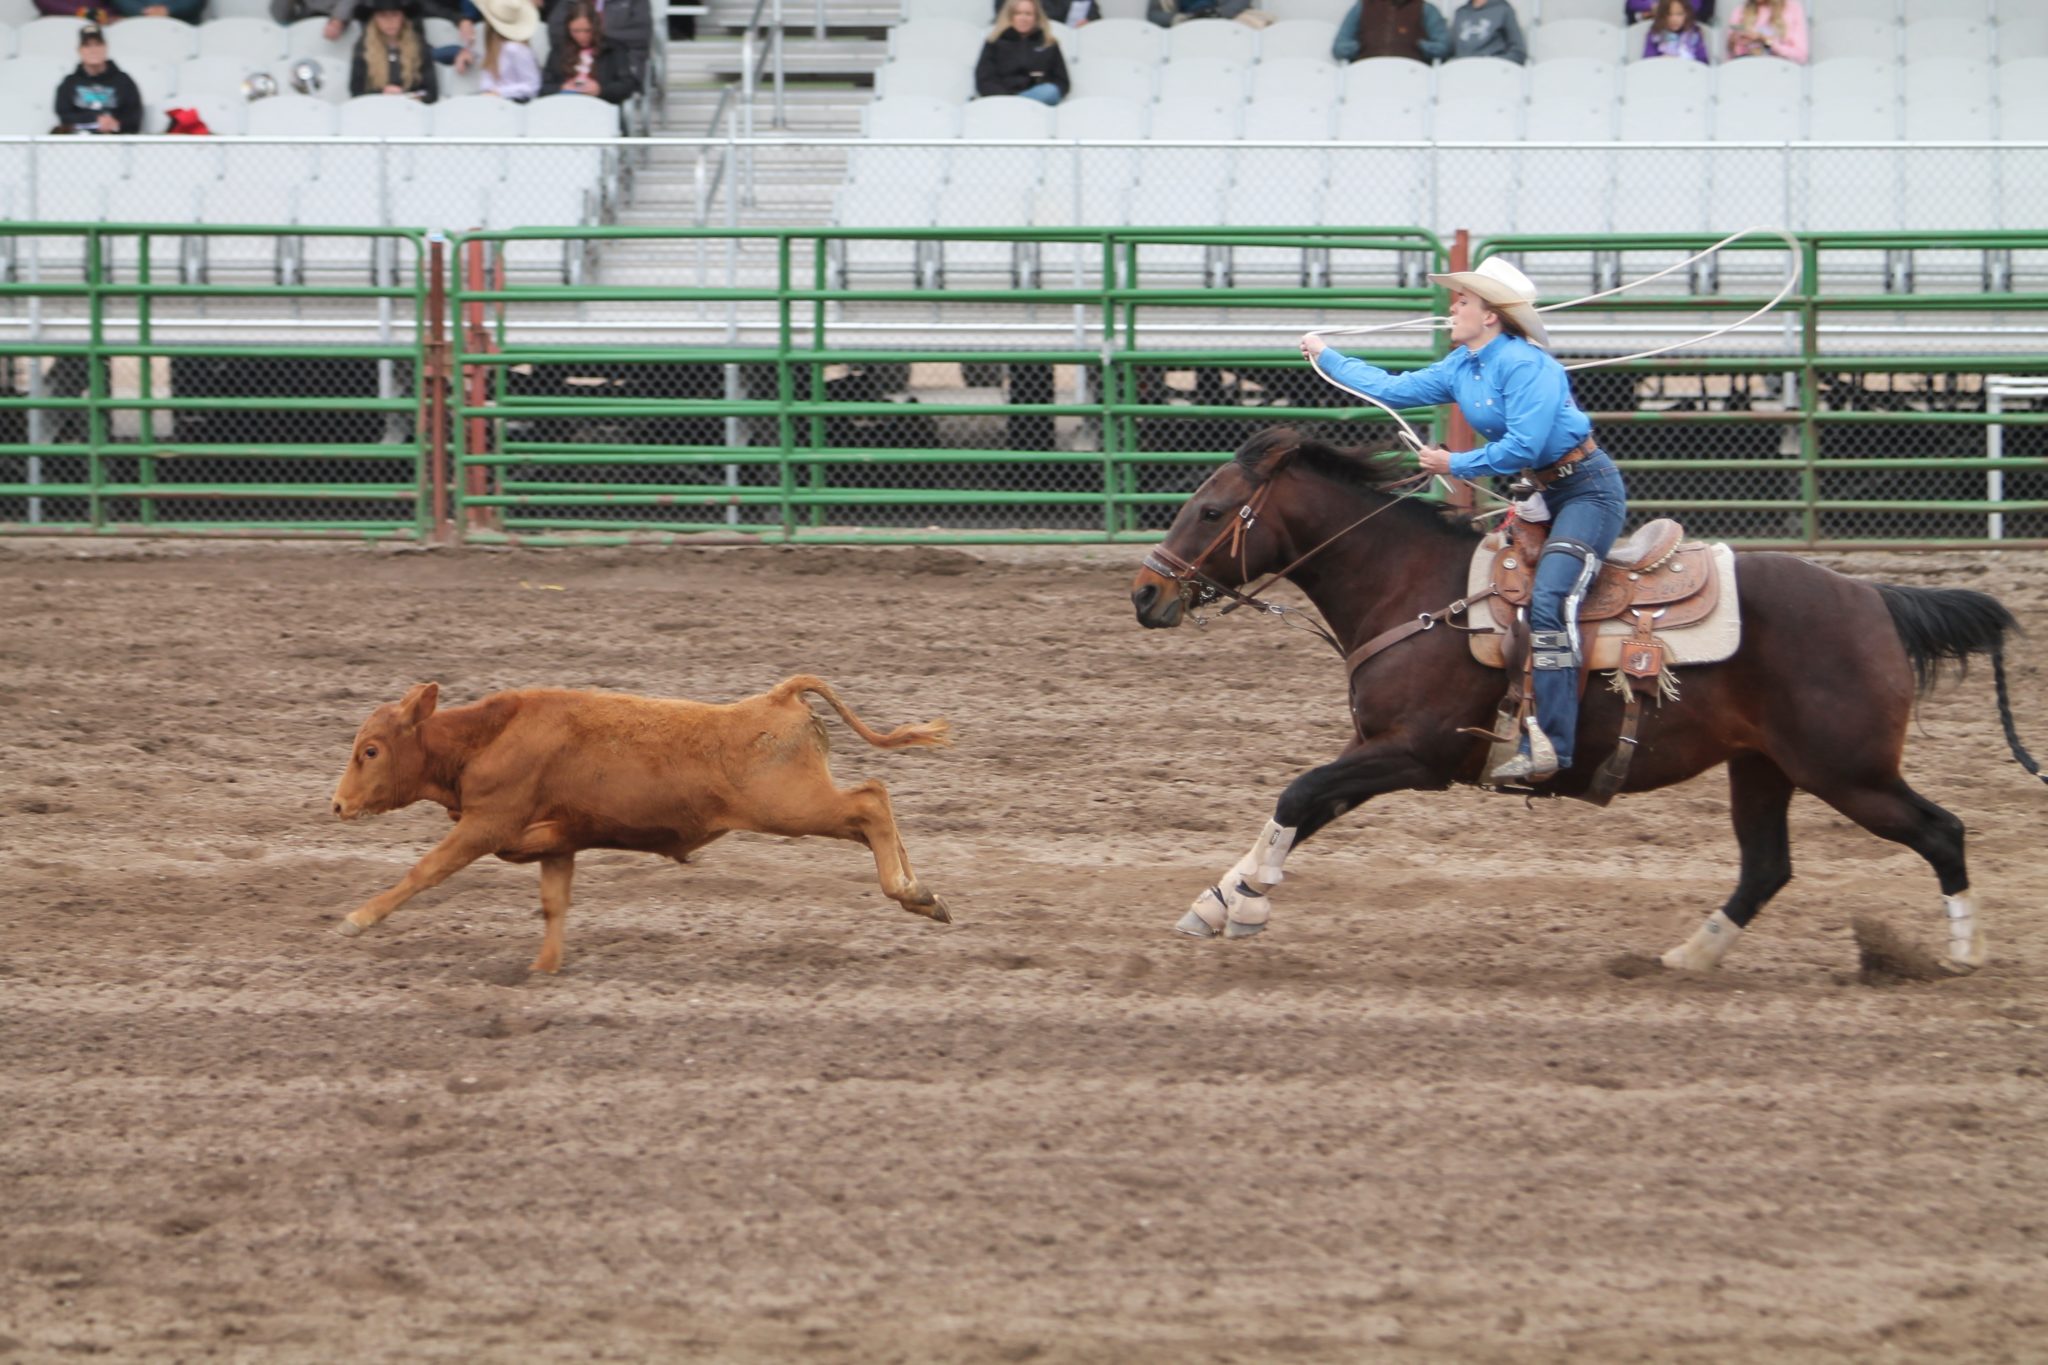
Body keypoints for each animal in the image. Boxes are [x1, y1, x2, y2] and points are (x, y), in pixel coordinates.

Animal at [330, 676, 952, 974]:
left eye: (370, 750)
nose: (336, 804)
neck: (486, 738)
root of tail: (776, 700)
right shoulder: (560, 843)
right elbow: (554, 900)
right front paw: (543, 968)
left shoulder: (485, 824)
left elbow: (426, 870)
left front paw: (357, 919)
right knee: (873, 804)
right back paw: (922, 895)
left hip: (791, 806)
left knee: (870, 802)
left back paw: (910, 891)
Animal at [1128, 426, 2045, 974]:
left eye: (1209, 508)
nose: (1144, 594)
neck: (1415, 590)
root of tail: (1875, 598)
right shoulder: (1380, 748)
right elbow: (1305, 806)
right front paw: (1221, 901)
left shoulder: (1417, 752)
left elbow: (1299, 793)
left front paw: (1240, 903)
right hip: (1763, 768)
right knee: (1767, 865)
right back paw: (1686, 955)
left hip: (1848, 771)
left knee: (1941, 831)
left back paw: (1962, 952)